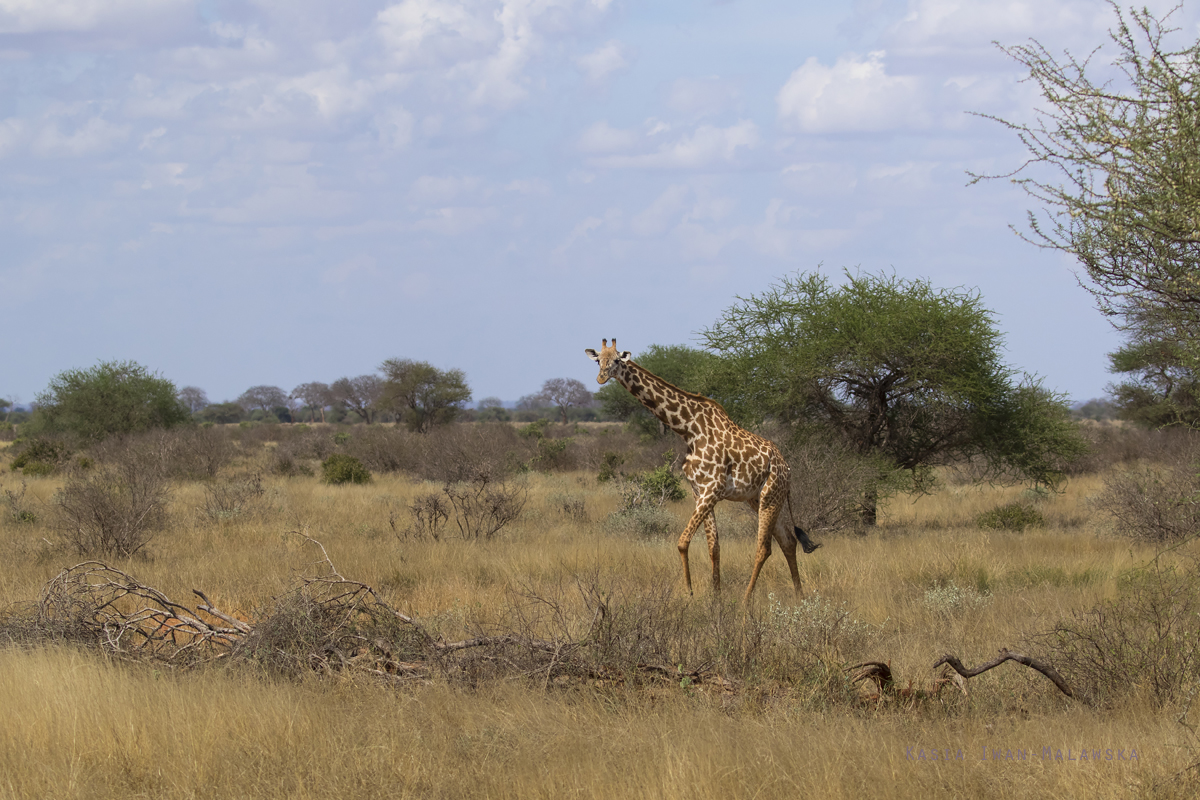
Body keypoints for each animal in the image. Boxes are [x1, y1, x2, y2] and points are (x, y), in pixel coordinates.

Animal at [585, 335, 820, 604]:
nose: (601, 378)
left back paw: (746, 600)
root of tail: (787, 467)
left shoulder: (712, 489)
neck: (688, 429)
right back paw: (800, 595)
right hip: (759, 498)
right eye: (598, 361)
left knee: (764, 547)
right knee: (788, 541)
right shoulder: (700, 491)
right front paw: (715, 596)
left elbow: (683, 541)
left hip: (771, 495)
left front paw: (689, 591)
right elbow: (713, 546)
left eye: (616, 360)